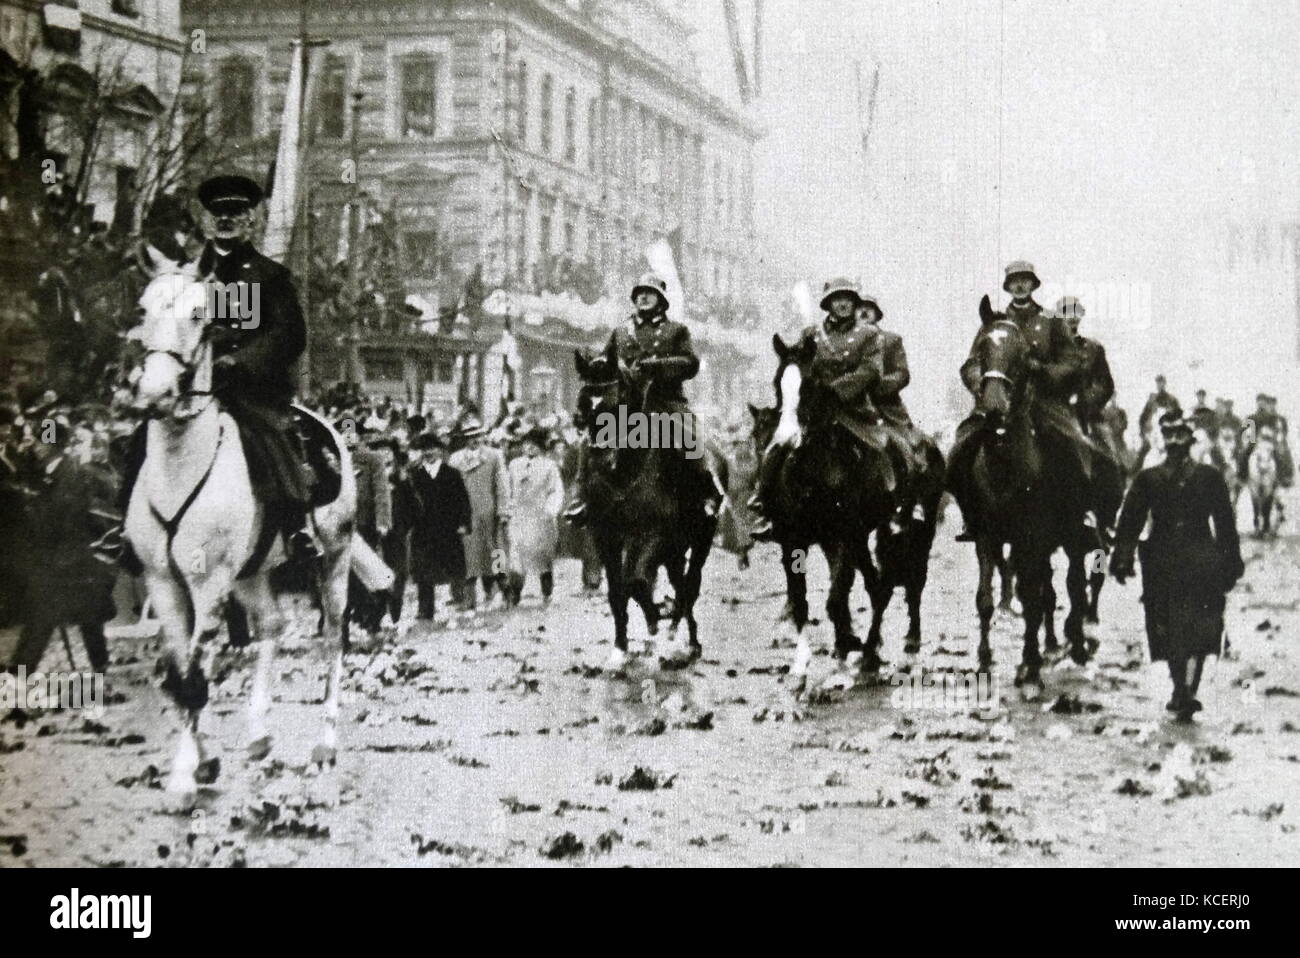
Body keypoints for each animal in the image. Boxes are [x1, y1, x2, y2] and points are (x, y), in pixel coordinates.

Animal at [125, 256, 366, 805]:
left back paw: (325, 743)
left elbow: (195, 672)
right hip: (252, 571)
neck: (180, 463)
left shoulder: (209, 583)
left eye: (200, 313)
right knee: (272, 625)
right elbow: (179, 672)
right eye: (144, 309)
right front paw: (202, 759)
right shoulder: (163, 584)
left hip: (335, 557)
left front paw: (183, 776)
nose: (154, 393)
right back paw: (258, 733)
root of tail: (327, 426)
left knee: (334, 638)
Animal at [572, 340, 717, 670]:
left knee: (690, 586)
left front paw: (657, 614)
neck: (624, 475)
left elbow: (637, 582)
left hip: (699, 540)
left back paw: (687, 639)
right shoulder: (607, 539)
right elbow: (619, 591)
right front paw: (620, 648)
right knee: (679, 582)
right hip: (673, 552)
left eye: (618, 403)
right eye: (583, 407)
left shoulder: (654, 535)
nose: (601, 464)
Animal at [956, 310, 1097, 691]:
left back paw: (1076, 645)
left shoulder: (1031, 538)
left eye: (1021, 354)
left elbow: (1034, 598)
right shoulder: (987, 537)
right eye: (981, 348)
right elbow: (986, 599)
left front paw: (1030, 665)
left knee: (1074, 585)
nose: (993, 408)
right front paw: (985, 659)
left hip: (1072, 534)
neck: (1005, 467)